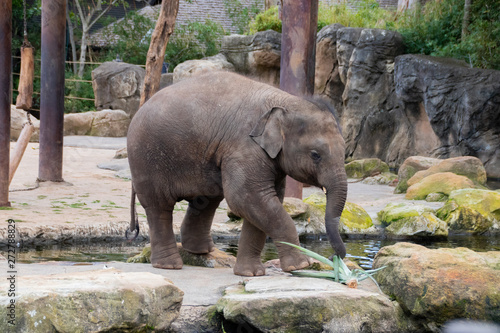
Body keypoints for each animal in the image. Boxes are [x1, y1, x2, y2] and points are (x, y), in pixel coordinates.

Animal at [128, 72, 348, 274]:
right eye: (315, 155)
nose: (332, 257)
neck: (285, 100)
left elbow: (264, 200)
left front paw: (252, 273)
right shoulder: (245, 147)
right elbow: (246, 198)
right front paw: (301, 265)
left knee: (205, 200)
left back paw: (201, 251)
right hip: (147, 159)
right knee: (160, 207)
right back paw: (169, 265)